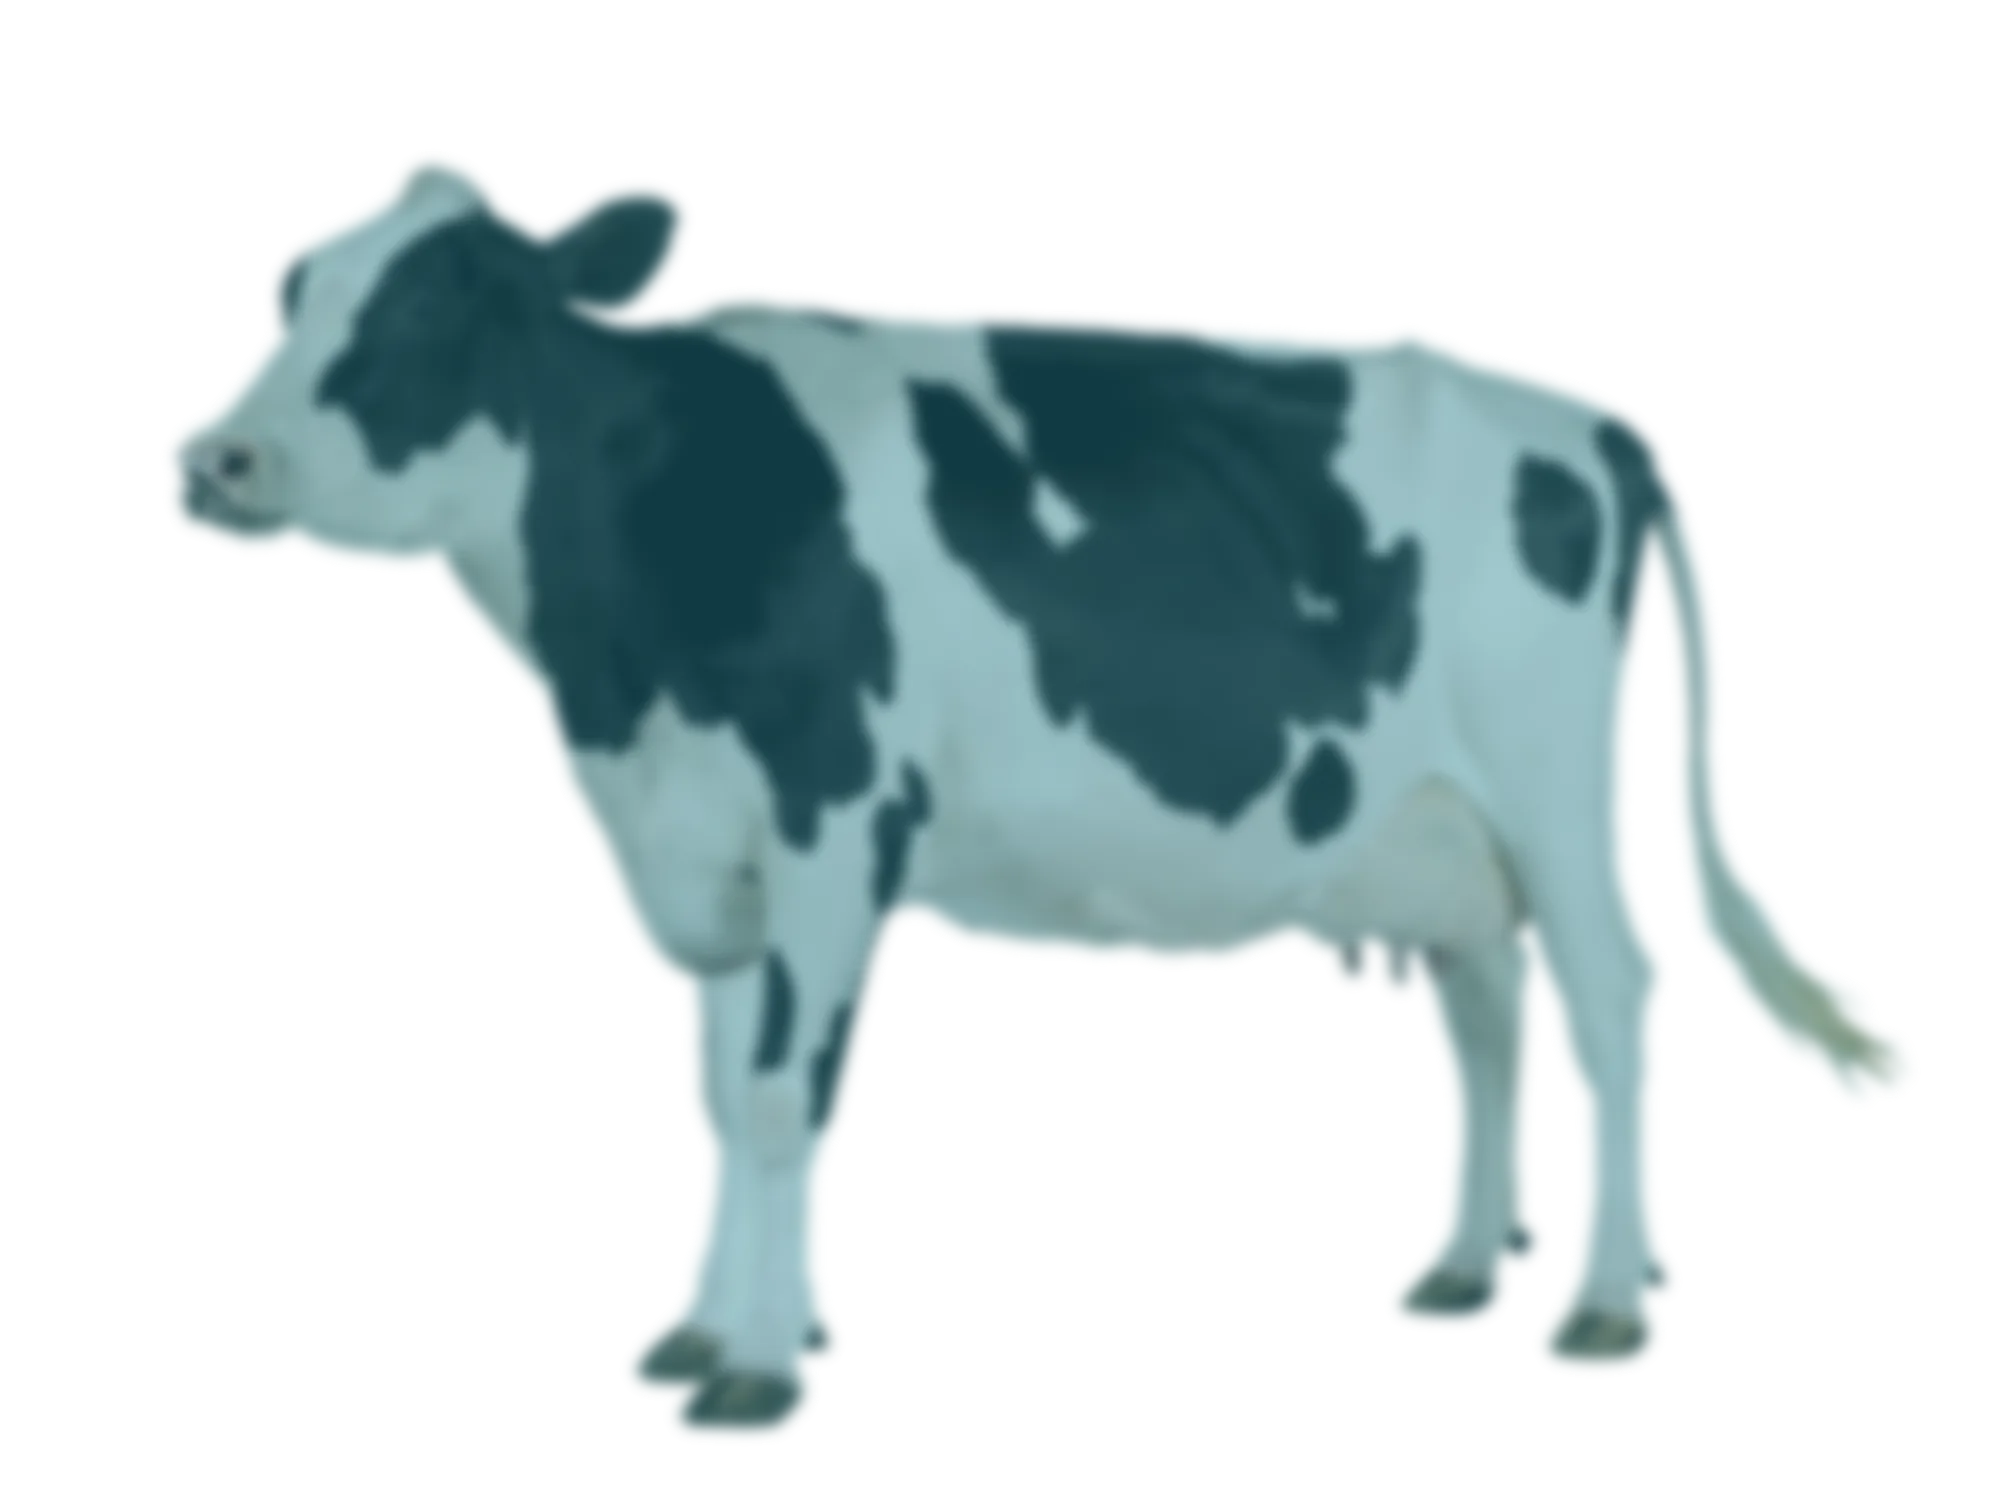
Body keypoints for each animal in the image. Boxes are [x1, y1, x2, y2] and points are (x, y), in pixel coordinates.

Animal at [160, 149, 1919, 1444]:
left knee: (1616, 998)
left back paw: (1607, 1297)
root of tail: (1597, 419)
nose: (207, 457)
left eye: (444, 305)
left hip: (1551, 788)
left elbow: (792, 1098)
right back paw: (1462, 1264)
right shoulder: (705, 854)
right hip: (1434, 830)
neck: (617, 668)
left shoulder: (838, 828)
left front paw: (760, 1367)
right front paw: (706, 1325)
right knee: (1488, 1015)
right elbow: (719, 1094)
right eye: (285, 285)